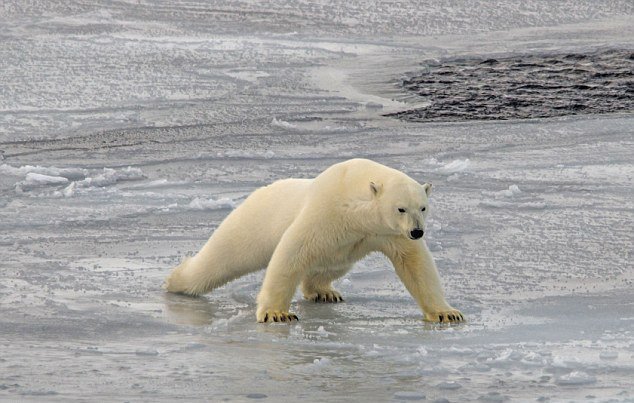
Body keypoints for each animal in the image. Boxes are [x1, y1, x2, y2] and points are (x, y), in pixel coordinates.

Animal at [165, 159, 462, 326]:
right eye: (401, 208)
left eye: (423, 207)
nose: (417, 232)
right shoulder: (326, 212)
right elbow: (292, 253)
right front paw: (277, 314)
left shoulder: (386, 234)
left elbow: (416, 265)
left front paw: (447, 314)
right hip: (250, 223)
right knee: (221, 258)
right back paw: (175, 280)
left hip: (342, 251)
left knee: (331, 265)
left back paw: (324, 291)